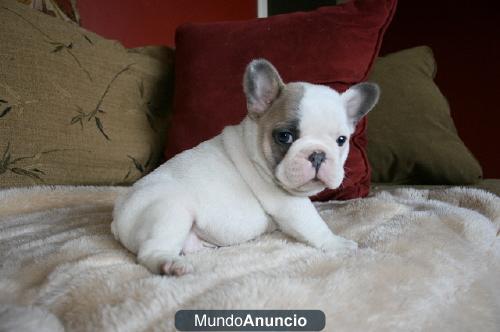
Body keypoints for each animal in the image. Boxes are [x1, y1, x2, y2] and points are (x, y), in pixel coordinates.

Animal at [112, 59, 378, 274]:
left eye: (341, 140)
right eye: (284, 136)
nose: (317, 154)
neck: (254, 146)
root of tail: (117, 220)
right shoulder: (289, 204)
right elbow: (314, 225)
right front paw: (337, 243)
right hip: (170, 210)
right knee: (149, 252)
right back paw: (170, 265)